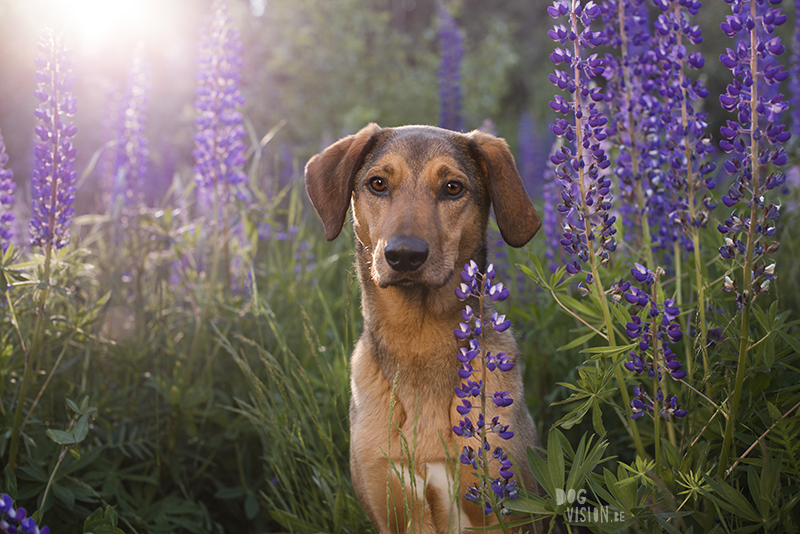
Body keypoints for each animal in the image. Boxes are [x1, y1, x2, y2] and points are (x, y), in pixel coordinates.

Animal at [306, 125, 544, 534]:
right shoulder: (388, 502)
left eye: (452, 187)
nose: (404, 255)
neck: (418, 335)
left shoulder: (505, 505)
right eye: (378, 183)